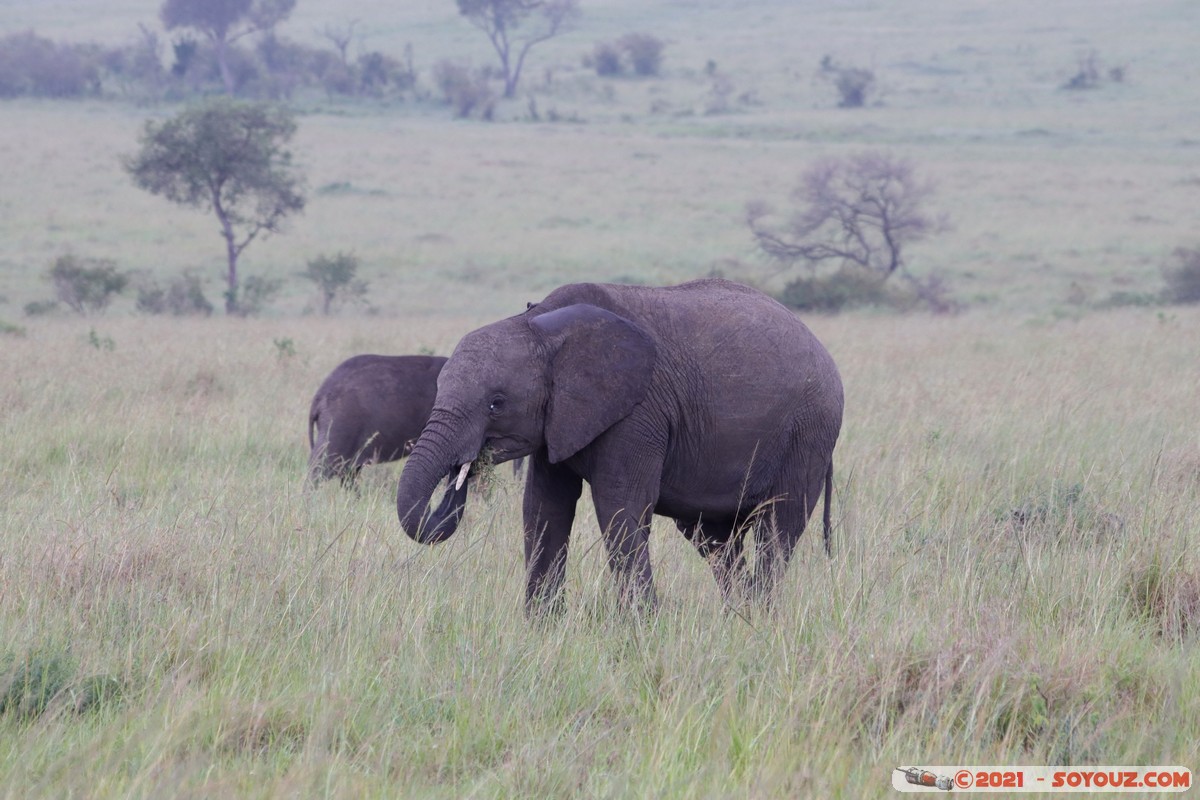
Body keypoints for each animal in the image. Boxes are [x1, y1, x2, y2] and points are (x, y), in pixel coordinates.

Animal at [393, 278, 844, 618]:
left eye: (496, 403)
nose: (465, 468)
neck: (541, 323)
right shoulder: (560, 418)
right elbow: (543, 508)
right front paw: (542, 628)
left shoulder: (637, 411)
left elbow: (620, 505)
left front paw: (641, 627)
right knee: (715, 541)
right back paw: (738, 617)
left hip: (809, 431)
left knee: (777, 529)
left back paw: (761, 618)